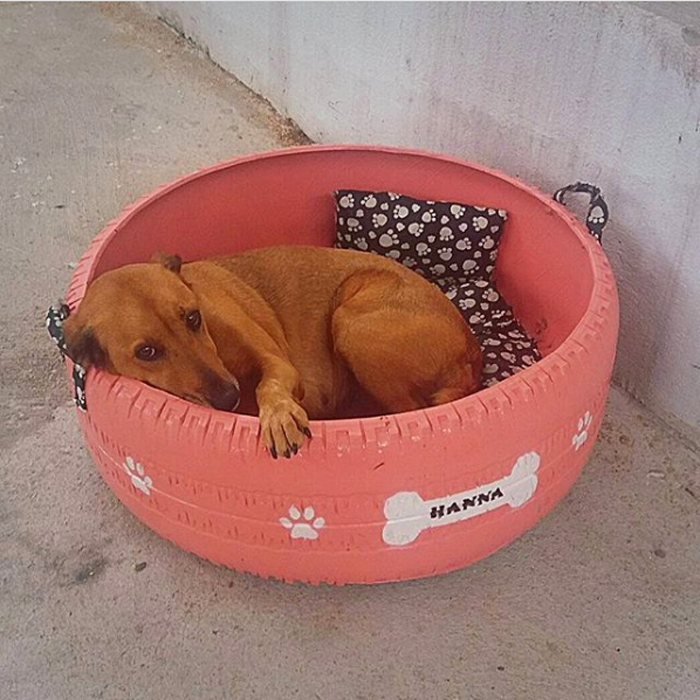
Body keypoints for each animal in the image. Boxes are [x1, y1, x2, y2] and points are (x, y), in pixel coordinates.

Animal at [64, 247, 482, 460]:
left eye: (193, 317)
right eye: (147, 351)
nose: (228, 397)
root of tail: (471, 354)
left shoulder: (276, 362)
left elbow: (270, 386)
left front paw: (279, 417)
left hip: (352, 324)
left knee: (411, 409)